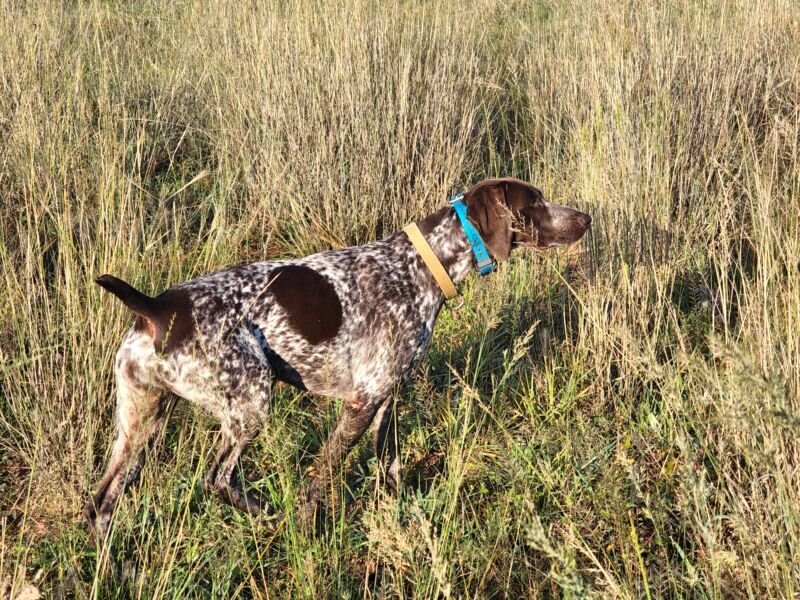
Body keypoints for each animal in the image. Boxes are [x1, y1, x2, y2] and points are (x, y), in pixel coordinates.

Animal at [84, 177, 591, 540]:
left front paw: (399, 516)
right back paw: (266, 515)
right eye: (535, 202)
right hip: (250, 401)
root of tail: (156, 308)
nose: (585, 218)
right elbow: (322, 475)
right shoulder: (361, 403)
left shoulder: (386, 401)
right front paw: (307, 527)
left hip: (142, 425)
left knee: (102, 500)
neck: (418, 267)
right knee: (216, 477)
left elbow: (390, 469)